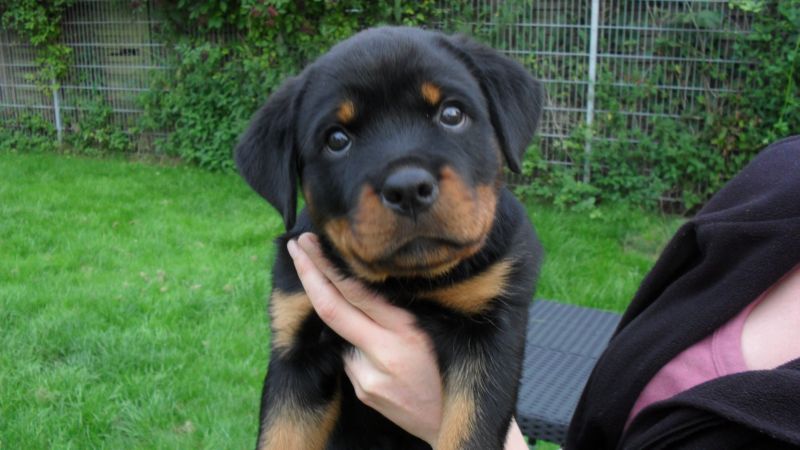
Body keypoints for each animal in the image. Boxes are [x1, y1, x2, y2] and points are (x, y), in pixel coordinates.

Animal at [235, 26, 543, 450]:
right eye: (336, 139)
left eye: (451, 114)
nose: (408, 188)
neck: (403, 283)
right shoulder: (295, 346)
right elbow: (280, 437)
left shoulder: (491, 331)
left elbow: (467, 434)